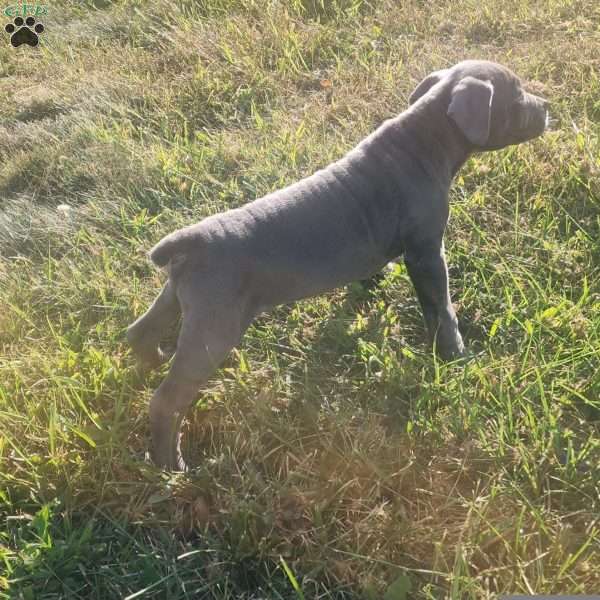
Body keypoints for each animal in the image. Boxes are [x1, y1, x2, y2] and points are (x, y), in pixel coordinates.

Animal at [126, 62, 548, 474]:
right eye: (516, 95)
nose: (546, 107)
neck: (423, 140)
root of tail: (189, 241)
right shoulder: (427, 254)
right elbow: (442, 309)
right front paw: (456, 356)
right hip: (215, 328)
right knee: (167, 401)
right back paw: (172, 464)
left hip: (178, 301)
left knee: (139, 333)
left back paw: (154, 362)